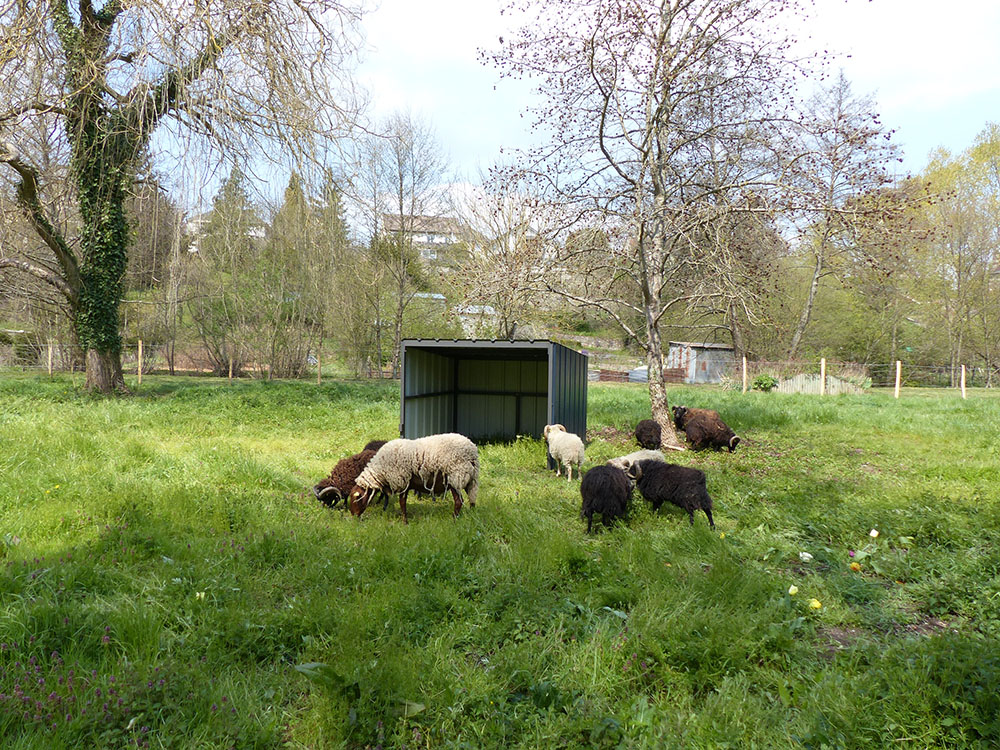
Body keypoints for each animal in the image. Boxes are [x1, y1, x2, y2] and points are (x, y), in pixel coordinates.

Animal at [348, 432, 480, 524]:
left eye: (355, 499)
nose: (353, 517)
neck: (380, 470)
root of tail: (472, 449)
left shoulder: (401, 480)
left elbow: (402, 503)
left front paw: (404, 522)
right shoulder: (405, 482)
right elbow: (403, 502)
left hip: (455, 477)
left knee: (459, 501)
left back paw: (453, 520)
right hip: (470, 478)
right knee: (472, 498)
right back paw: (471, 515)